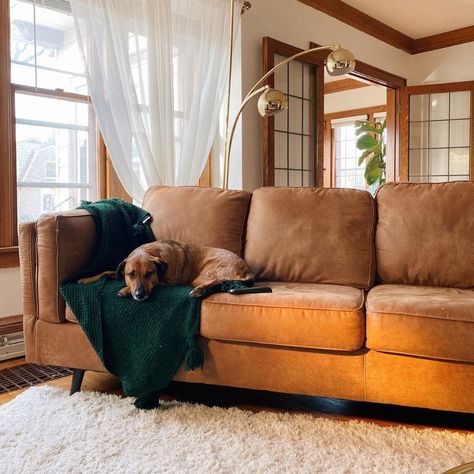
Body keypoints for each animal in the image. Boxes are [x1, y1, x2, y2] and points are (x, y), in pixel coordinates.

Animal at [79, 239, 254, 302]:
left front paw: (125, 289)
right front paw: (85, 279)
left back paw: (199, 291)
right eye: (131, 274)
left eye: (149, 274)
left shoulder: (167, 282)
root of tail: (247, 270)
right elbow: (107, 271)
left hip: (204, 276)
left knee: (217, 282)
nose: (140, 295)